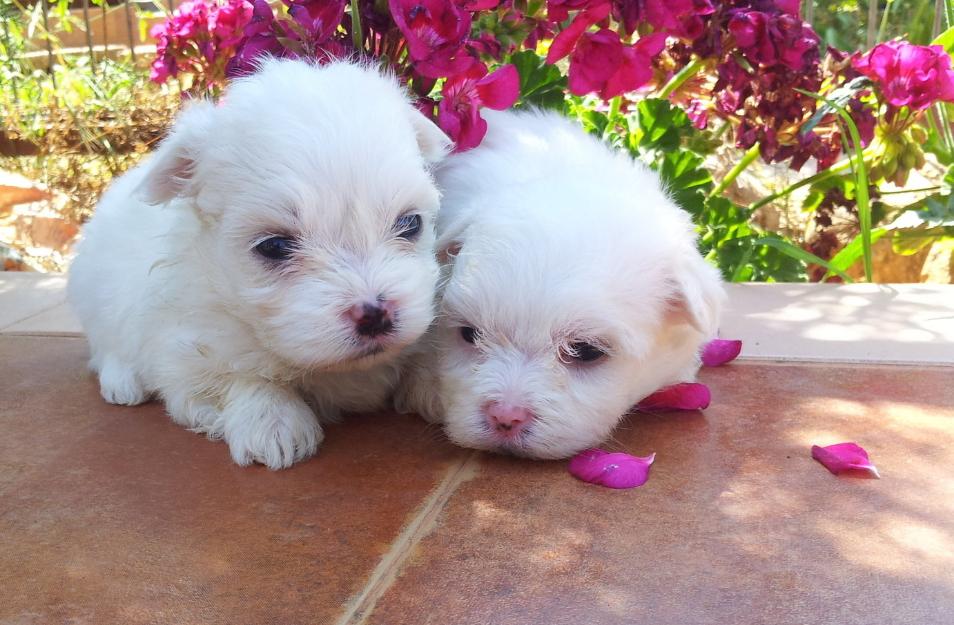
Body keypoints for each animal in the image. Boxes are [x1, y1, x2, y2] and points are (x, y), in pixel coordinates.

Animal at [70, 59, 450, 468]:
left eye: (410, 224)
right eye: (275, 246)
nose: (375, 315)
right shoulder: (186, 353)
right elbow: (238, 375)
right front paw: (271, 421)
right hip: (94, 296)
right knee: (106, 348)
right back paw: (122, 383)